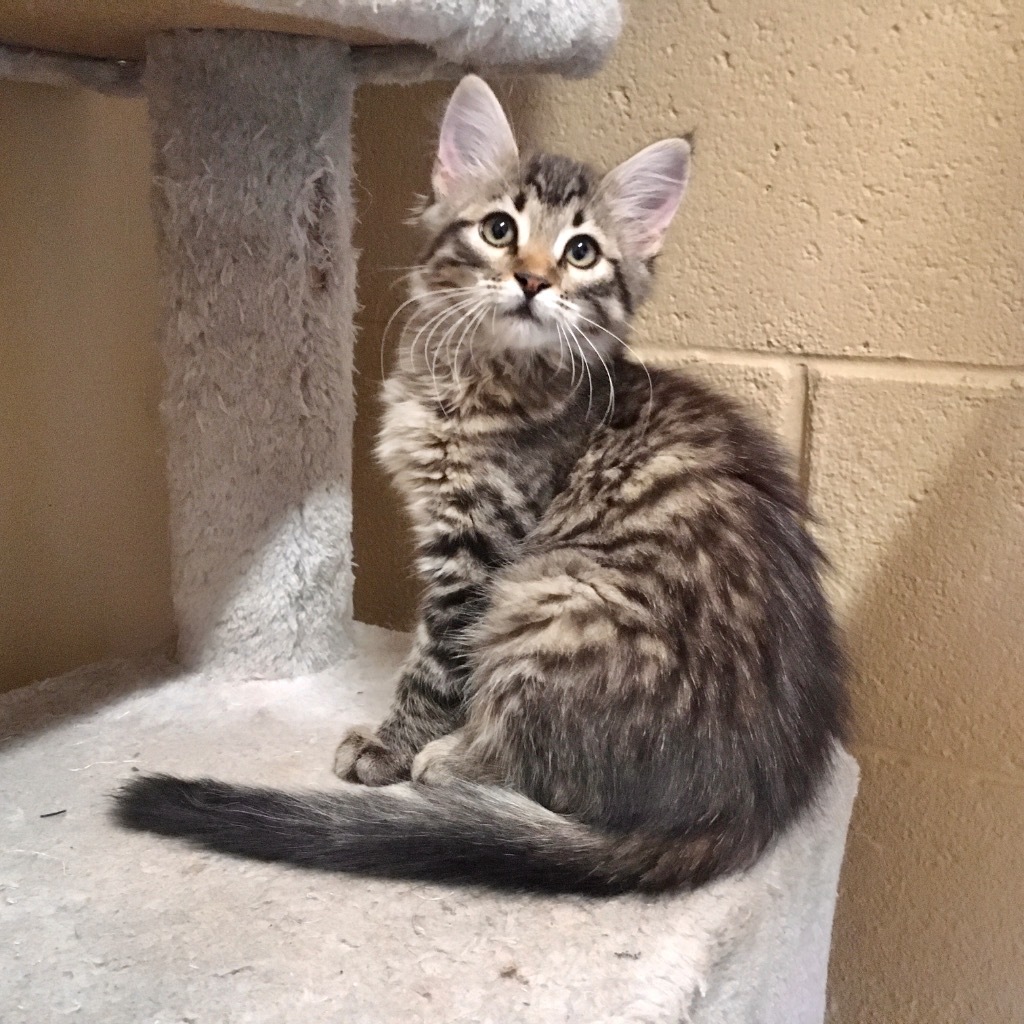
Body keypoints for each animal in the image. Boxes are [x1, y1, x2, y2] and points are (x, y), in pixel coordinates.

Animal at [114, 75, 847, 892]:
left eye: (582, 252)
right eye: (500, 229)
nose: (532, 279)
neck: (478, 376)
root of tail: (747, 804)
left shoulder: (480, 548)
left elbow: (436, 660)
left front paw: (391, 746)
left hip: (553, 595)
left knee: (547, 766)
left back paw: (451, 762)